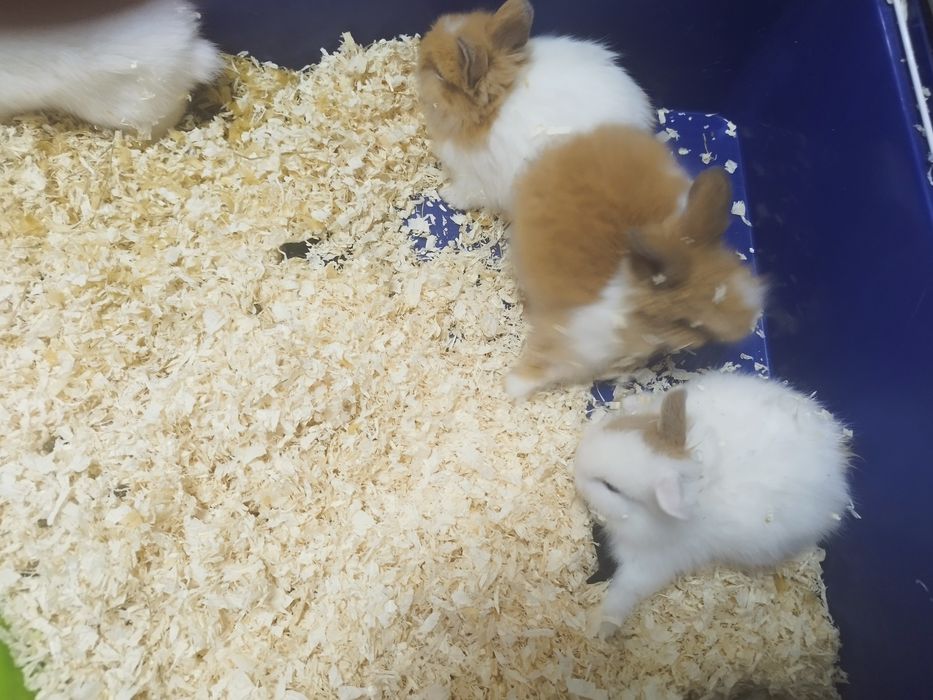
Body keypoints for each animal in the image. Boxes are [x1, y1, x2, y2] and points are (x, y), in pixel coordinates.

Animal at [417, 0, 655, 216]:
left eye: (439, 74)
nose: (418, 59)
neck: (489, 111)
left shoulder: (473, 177)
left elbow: (465, 194)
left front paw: (445, 194)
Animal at [574, 372, 853, 634]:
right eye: (620, 426)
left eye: (611, 487)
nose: (575, 466)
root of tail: (838, 466)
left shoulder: (650, 564)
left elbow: (623, 592)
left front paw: (598, 630)